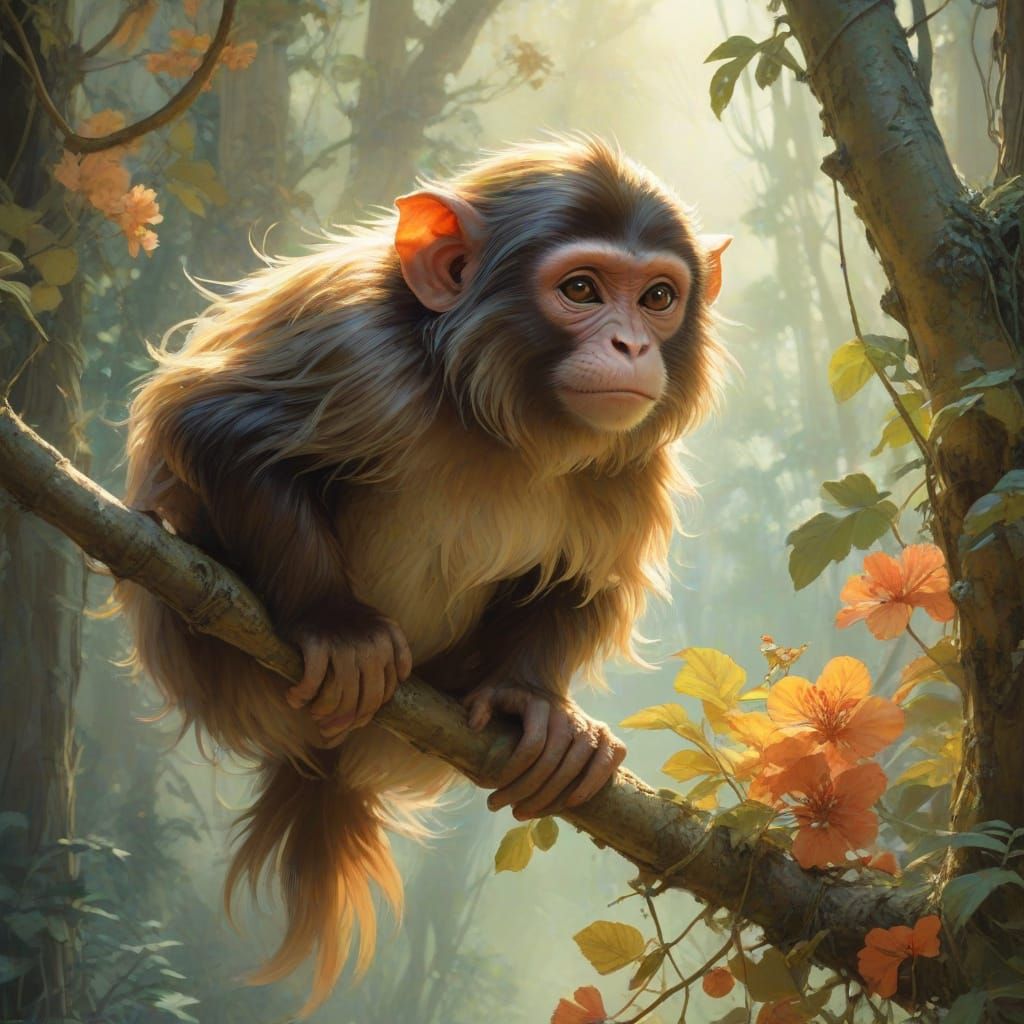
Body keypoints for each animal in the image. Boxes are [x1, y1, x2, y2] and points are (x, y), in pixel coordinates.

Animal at [117, 136, 730, 1015]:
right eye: (581, 289)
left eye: (656, 297)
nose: (632, 348)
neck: (496, 415)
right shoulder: (358, 352)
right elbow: (214, 428)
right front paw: (335, 624)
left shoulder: (628, 456)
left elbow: (584, 576)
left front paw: (533, 700)